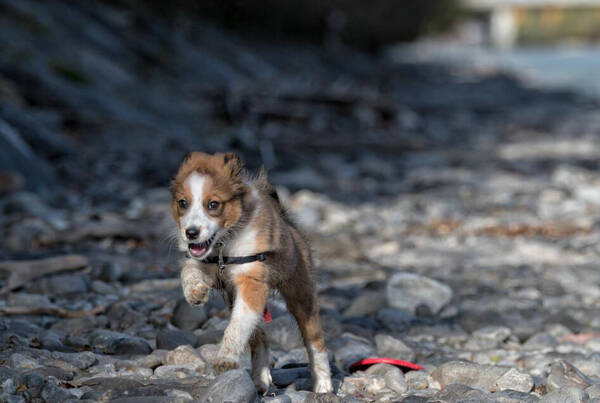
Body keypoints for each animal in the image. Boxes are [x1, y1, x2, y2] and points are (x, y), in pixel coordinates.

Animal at [169, 152, 332, 394]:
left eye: (213, 204)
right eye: (183, 203)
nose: (191, 233)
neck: (223, 246)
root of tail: (287, 221)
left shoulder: (251, 282)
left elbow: (237, 326)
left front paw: (225, 358)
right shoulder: (211, 268)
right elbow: (189, 269)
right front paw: (194, 292)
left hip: (302, 296)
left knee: (315, 341)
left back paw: (323, 384)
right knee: (259, 336)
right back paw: (260, 377)